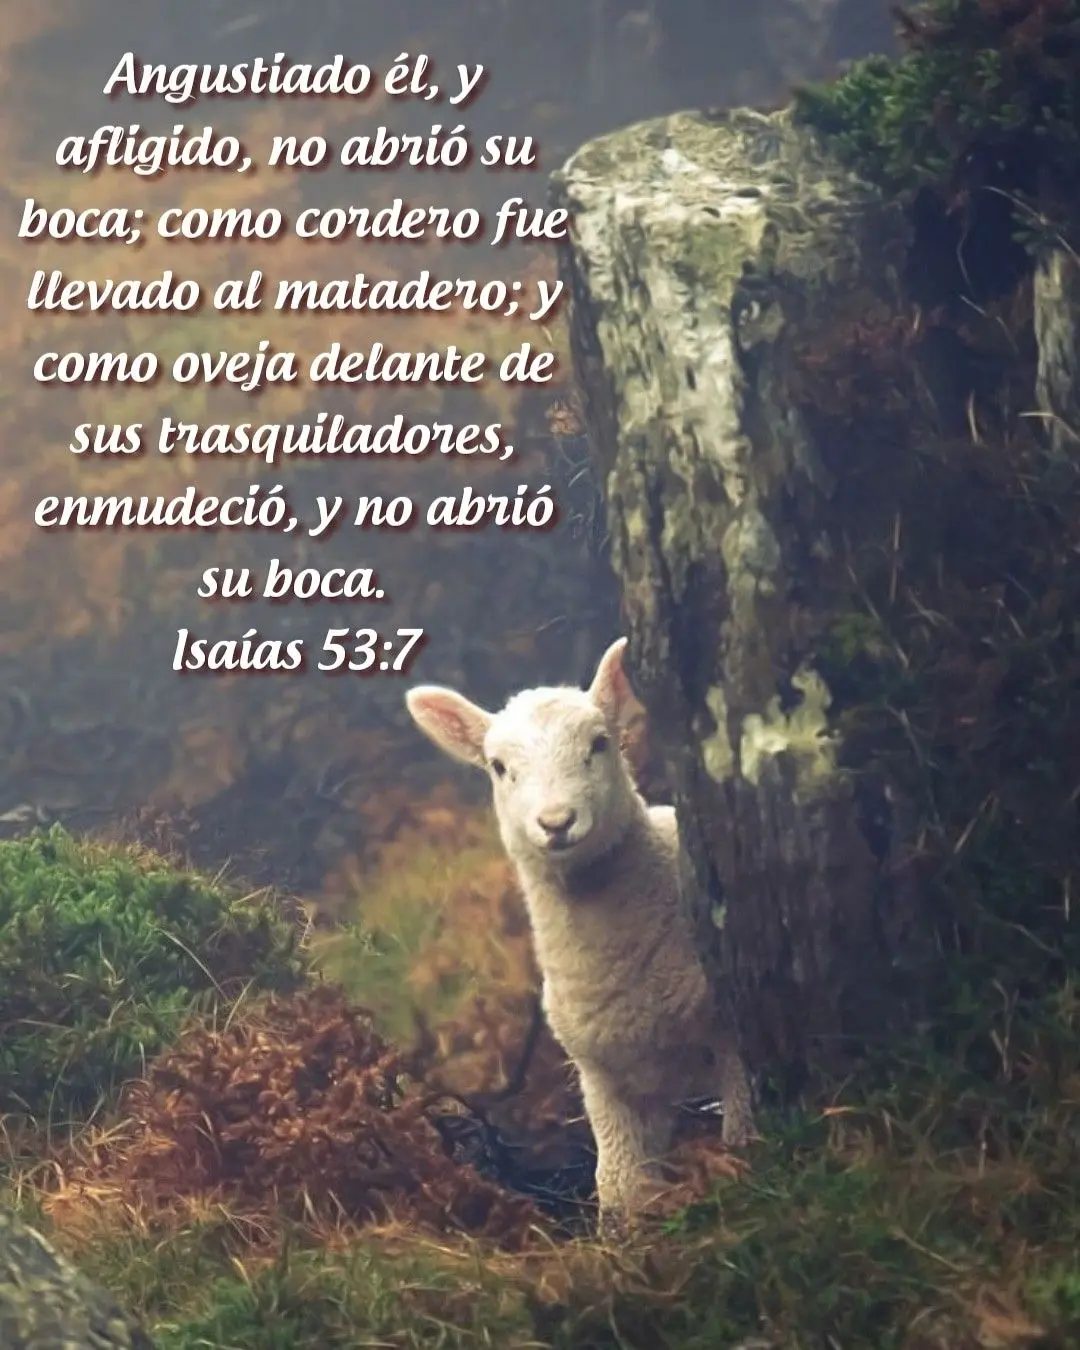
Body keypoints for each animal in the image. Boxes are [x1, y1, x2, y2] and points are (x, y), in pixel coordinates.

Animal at [404, 637, 755, 1229]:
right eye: (499, 767)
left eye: (599, 743)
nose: (555, 822)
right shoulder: (606, 1077)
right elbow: (618, 1188)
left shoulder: (731, 1040)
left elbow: (743, 1138)